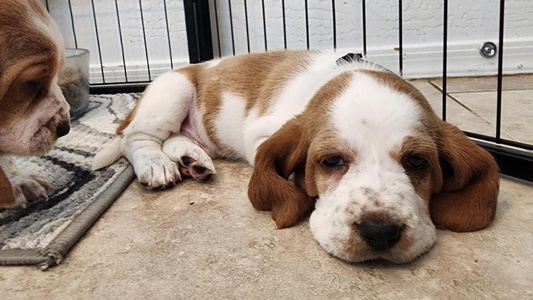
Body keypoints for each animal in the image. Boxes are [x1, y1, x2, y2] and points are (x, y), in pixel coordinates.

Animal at [93, 49, 496, 262]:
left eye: (417, 162)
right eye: (331, 161)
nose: (380, 232)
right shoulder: (261, 134)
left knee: (176, 138)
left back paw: (194, 161)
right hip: (172, 92)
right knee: (135, 137)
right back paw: (156, 165)